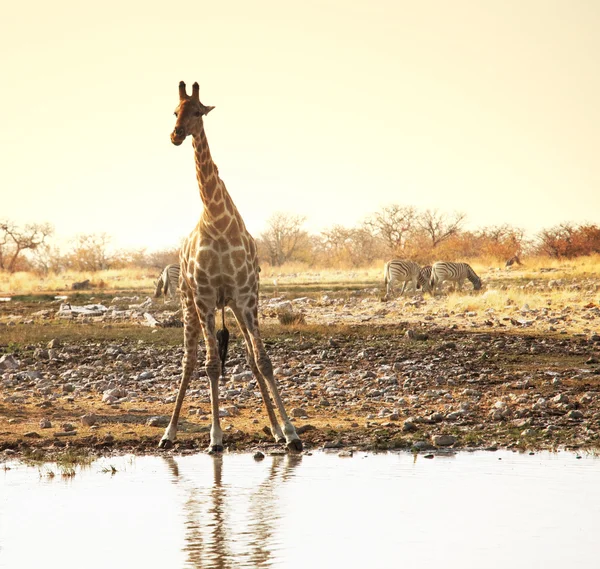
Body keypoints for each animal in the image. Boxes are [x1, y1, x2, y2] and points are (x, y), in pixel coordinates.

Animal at [159, 81, 302, 452]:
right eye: (174, 110)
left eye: (198, 111)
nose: (176, 135)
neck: (216, 218)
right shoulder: (206, 297)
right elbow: (210, 365)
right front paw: (215, 437)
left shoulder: (245, 295)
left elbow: (262, 361)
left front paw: (290, 432)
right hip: (188, 302)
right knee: (189, 361)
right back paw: (168, 433)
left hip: (235, 306)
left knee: (250, 358)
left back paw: (276, 430)